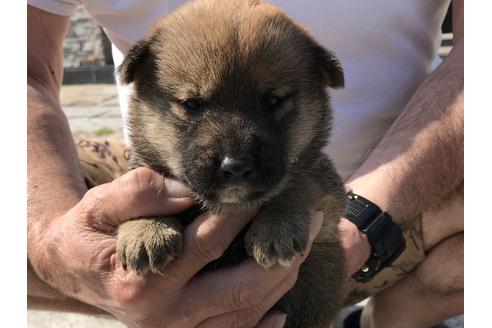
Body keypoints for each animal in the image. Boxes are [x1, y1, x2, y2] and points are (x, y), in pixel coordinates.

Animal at [116, 1, 346, 326]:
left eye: (273, 101)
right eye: (192, 104)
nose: (236, 166)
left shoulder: (329, 195)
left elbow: (299, 182)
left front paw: (276, 226)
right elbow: (145, 182)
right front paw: (146, 231)